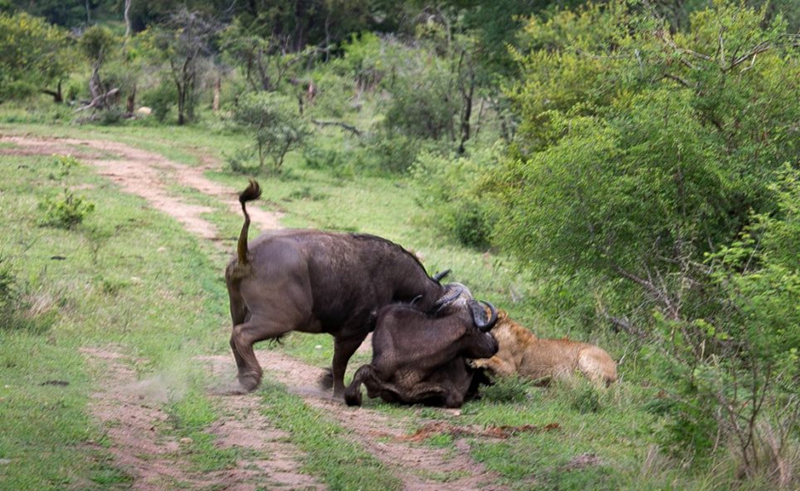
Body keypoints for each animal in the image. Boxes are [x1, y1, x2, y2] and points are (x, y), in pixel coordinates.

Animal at [225, 179, 462, 398]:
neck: (392, 277)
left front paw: (326, 381)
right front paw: (340, 393)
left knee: (233, 337)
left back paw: (242, 378)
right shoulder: (352, 333)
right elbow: (341, 363)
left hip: (239, 309)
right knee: (242, 336)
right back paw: (252, 379)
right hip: (281, 319)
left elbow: (337, 363)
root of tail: (249, 255)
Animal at [468, 312, 620, 388]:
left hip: (585, 354)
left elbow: (493, 358)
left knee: (599, 387)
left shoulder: (512, 372)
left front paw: (475, 361)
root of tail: (614, 366)